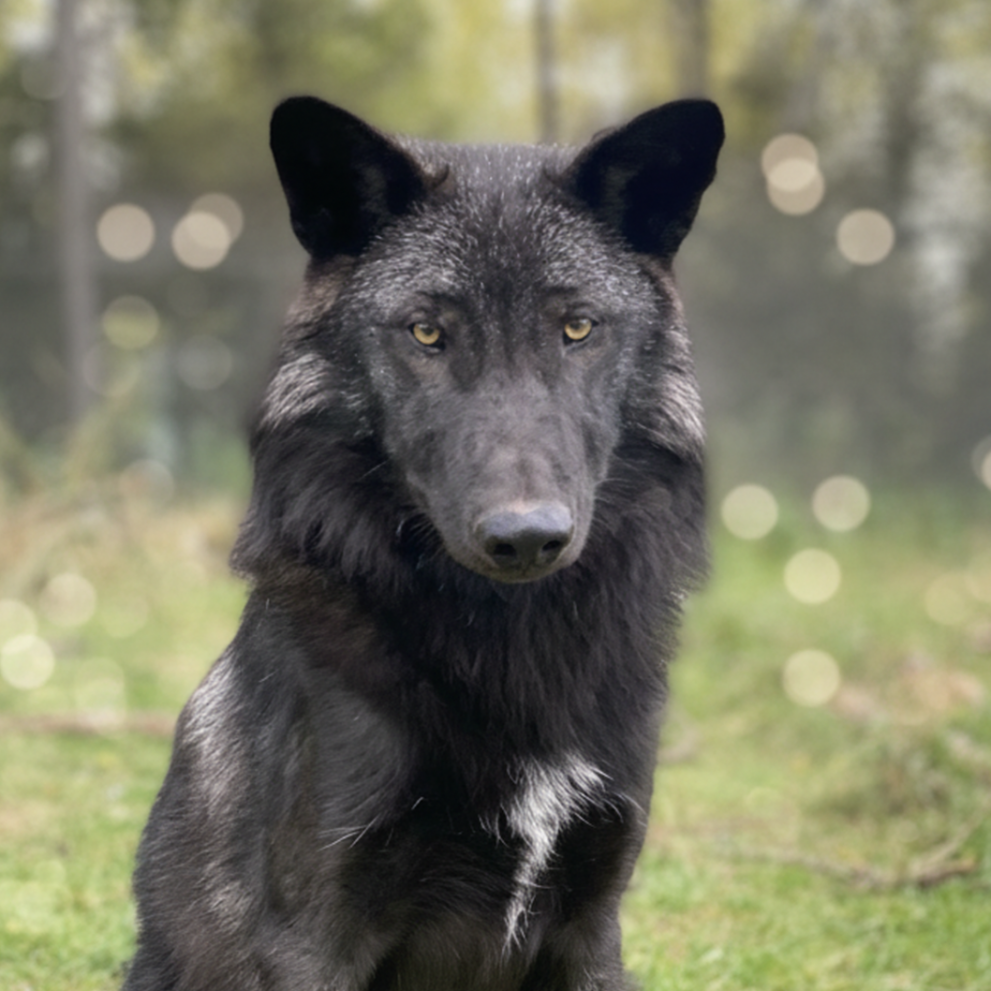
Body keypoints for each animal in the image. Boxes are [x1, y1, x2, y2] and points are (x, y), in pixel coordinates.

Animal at [124, 95, 723, 991]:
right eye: (427, 333)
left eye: (577, 327)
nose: (526, 536)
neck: (510, 646)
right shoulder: (314, 934)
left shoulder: (592, 923)